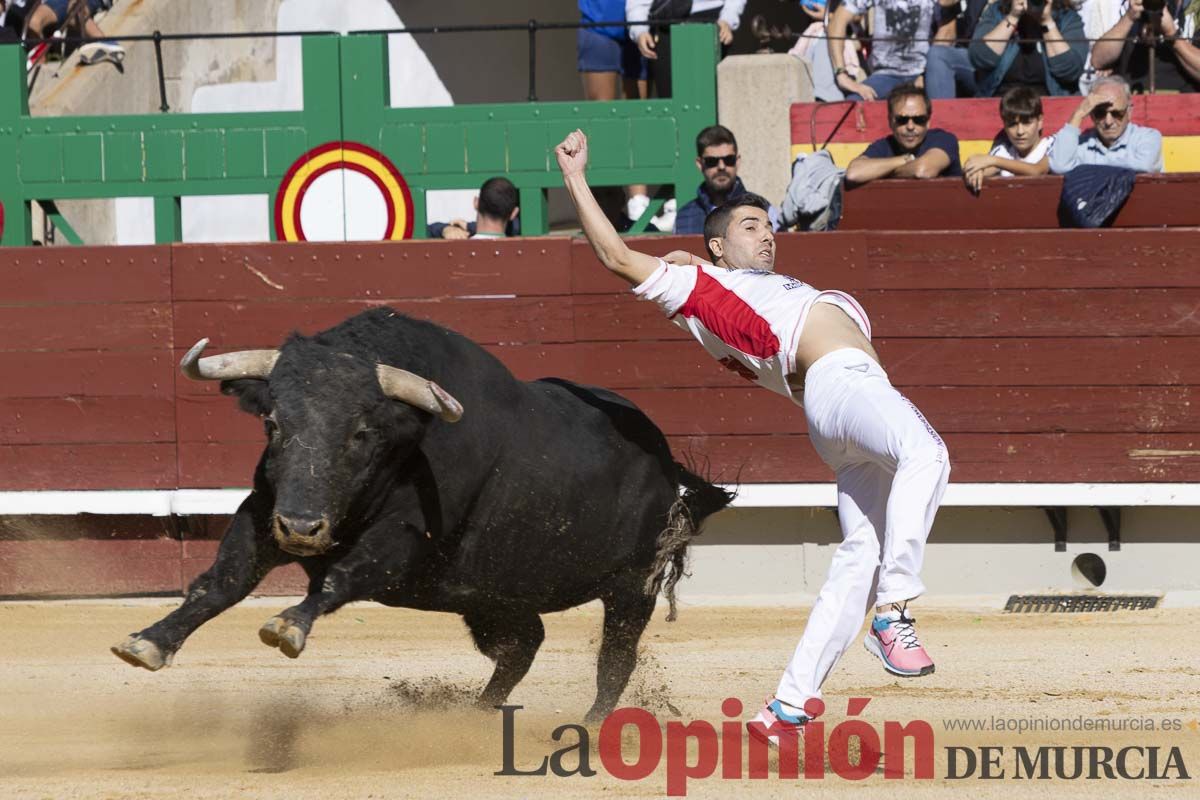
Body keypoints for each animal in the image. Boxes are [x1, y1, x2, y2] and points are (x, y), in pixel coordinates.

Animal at [112, 307, 729, 719]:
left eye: (362, 431)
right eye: (273, 423)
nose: (304, 530)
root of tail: (665, 460)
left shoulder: (401, 542)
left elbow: (337, 578)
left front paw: (288, 625)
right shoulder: (263, 511)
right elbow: (222, 580)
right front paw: (149, 641)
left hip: (631, 587)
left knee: (614, 662)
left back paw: (592, 728)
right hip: (493, 596)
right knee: (522, 646)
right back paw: (477, 716)